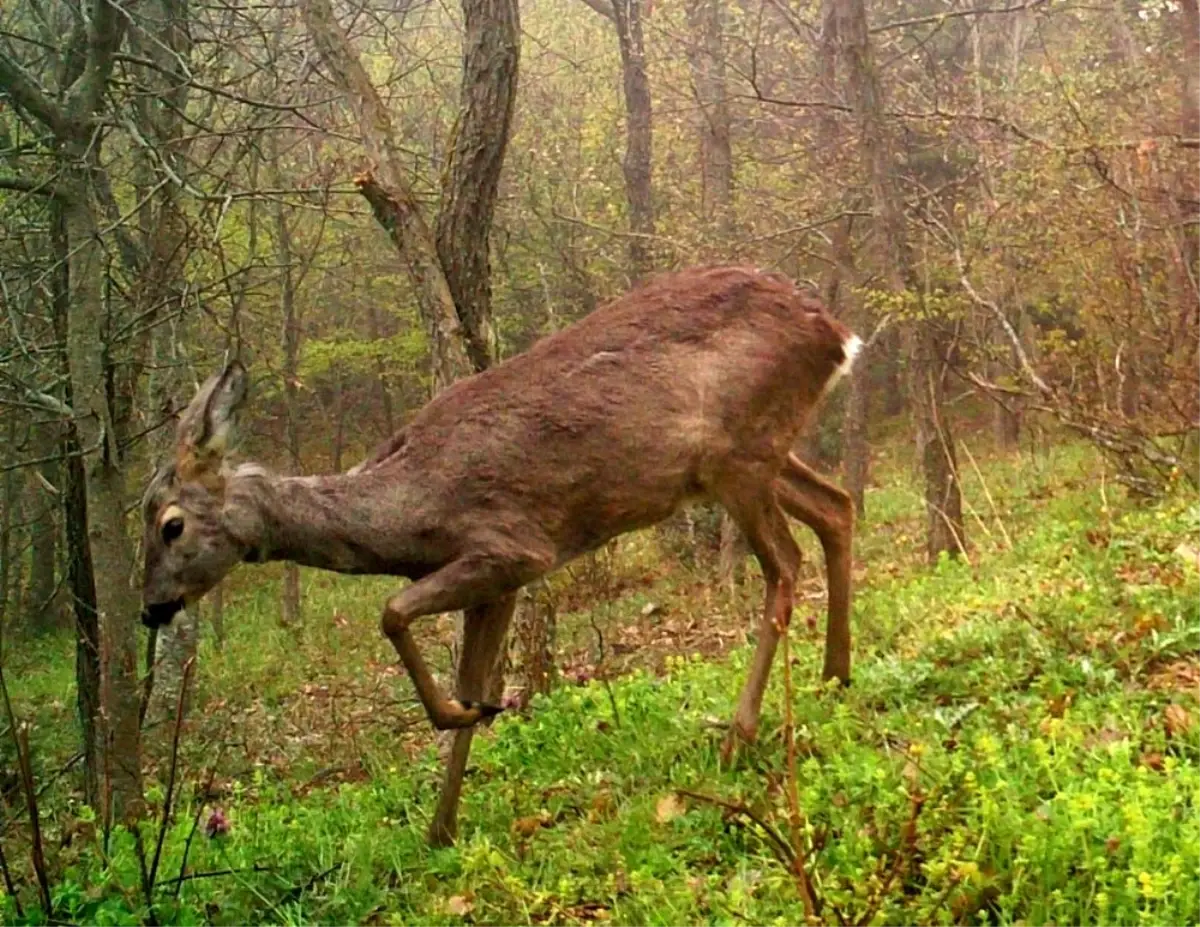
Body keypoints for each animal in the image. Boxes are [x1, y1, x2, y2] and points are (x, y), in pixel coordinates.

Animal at [140, 262, 859, 845]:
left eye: (171, 524)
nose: (151, 609)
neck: (407, 511)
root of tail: (835, 333)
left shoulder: (512, 547)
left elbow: (392, 611)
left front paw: (460, 719)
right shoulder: (500, 583)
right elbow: (470, 675)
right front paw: (441, 825)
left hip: (740, 452)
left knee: (786, 565)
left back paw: (739, 735)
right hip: (755, 457)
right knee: (838, 505)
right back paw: (836, 676)